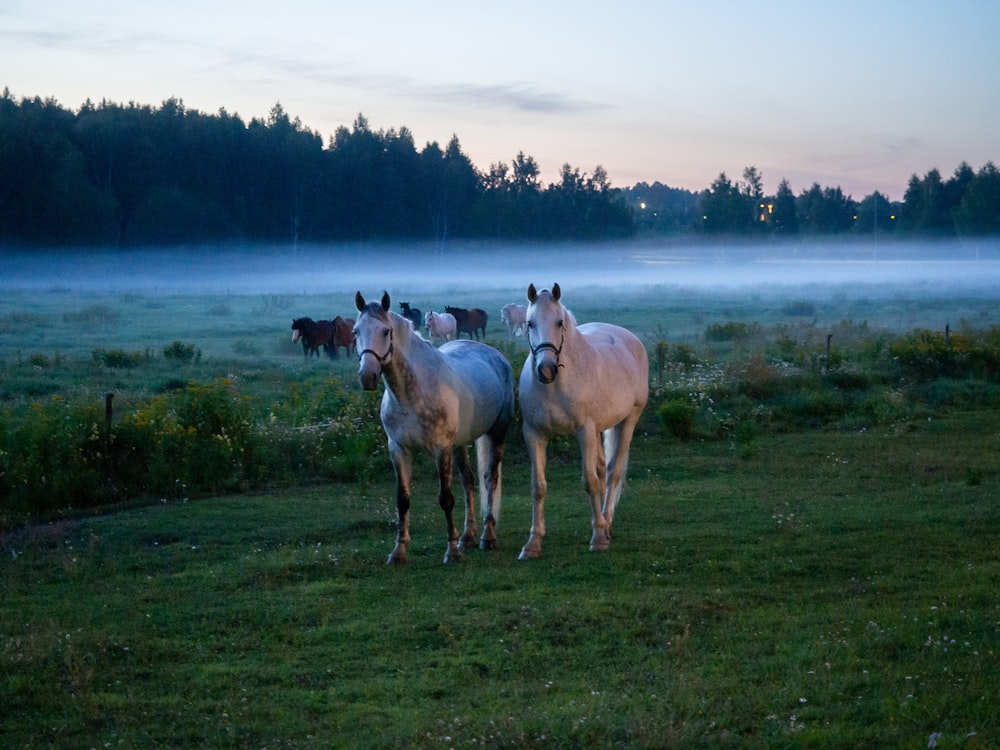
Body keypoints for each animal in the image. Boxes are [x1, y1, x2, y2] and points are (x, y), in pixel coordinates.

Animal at [356, 292, 516, 564]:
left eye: (386, 331)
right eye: (356, 331)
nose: (367, 376)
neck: (411, 394)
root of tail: (494, 355)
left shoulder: (441, 449)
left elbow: (446, 499)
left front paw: (451, 551)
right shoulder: (398, 449)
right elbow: (402, 500)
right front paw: (398, 551)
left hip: (497, 432)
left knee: (490, 479)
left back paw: (488, 536)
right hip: (460, 443)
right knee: (468, 480)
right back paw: (468, 536)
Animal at [516, 282, 648, 560]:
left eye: (559, 322)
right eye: (530, 323)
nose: (546, 369)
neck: (554, 388)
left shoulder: (584, 432)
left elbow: (590, 482)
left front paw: (597, 538)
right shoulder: (534, 435)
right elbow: (538, 487)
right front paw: (533, 543)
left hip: (628, 420)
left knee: (612, 472)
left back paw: (606, 524)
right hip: (599, 429)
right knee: (601, 469)